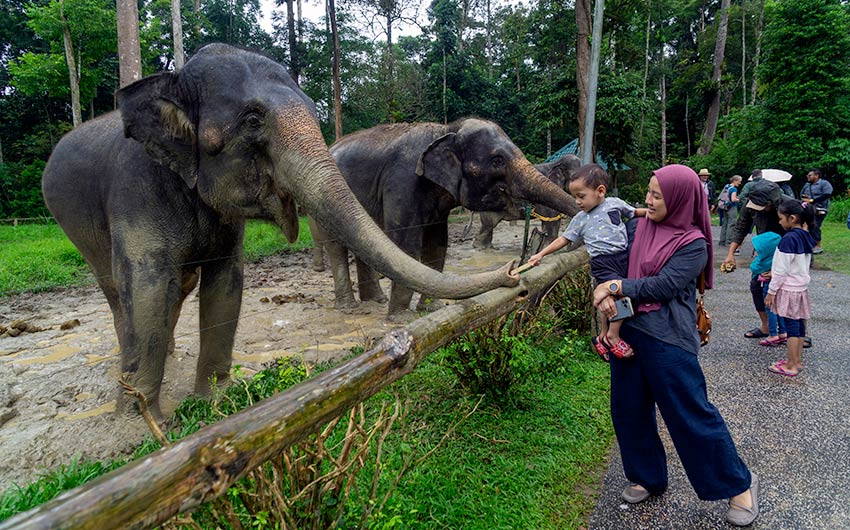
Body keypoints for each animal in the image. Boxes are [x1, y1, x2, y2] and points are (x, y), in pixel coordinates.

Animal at [41, 44, 519, 419]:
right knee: (120, 289)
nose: (516, 271)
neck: (172, 81)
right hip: (75, 224)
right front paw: (143, 422)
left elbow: (226, 284)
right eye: (253, 120)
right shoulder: (137, 190)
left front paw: (214, 402)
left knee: (179, 285)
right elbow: (149, 286)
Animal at [309, 119, 581, 315]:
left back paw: (376, 301)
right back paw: (350, 309)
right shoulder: (402, 182)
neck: (446, 129)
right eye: (497, 160)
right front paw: (400, 318)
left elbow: (438, 244)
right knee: (336, 246)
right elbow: (406, 244)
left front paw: (431, 310)